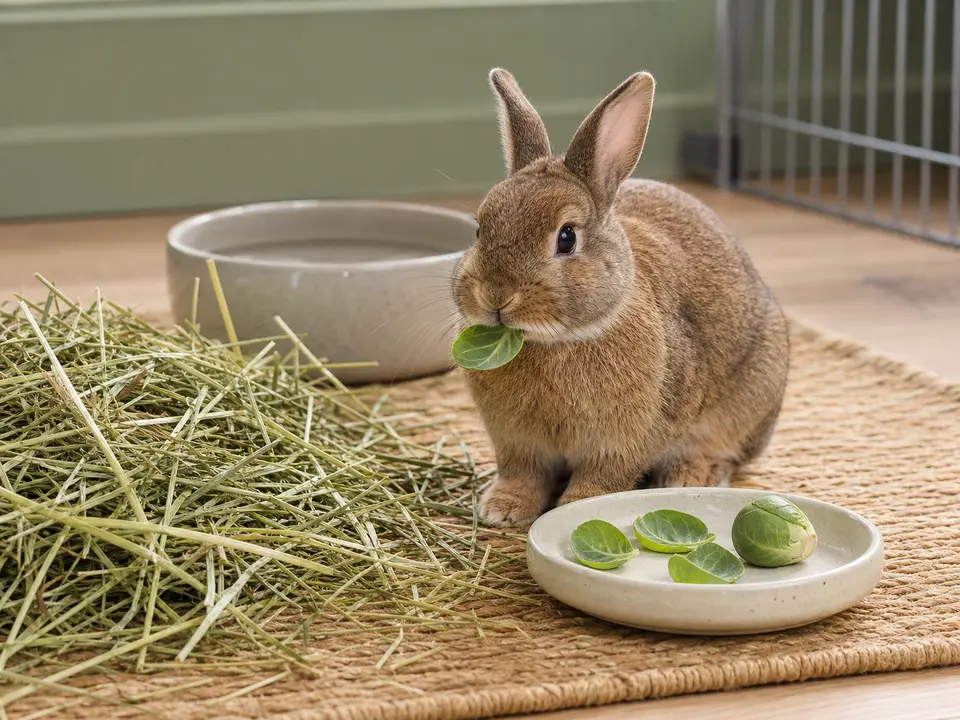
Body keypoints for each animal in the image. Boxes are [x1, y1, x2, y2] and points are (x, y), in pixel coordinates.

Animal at [451, 68, 791, 529]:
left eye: (567, 238)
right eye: (479, 229)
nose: (496, 296)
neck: (554, 340)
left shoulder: (629, 439)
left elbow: (603, 477)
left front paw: (577, 506)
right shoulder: (517, 442)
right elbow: (522, 473)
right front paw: (502, 510)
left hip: (748, 401)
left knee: (724, 453)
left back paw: (689, 477)